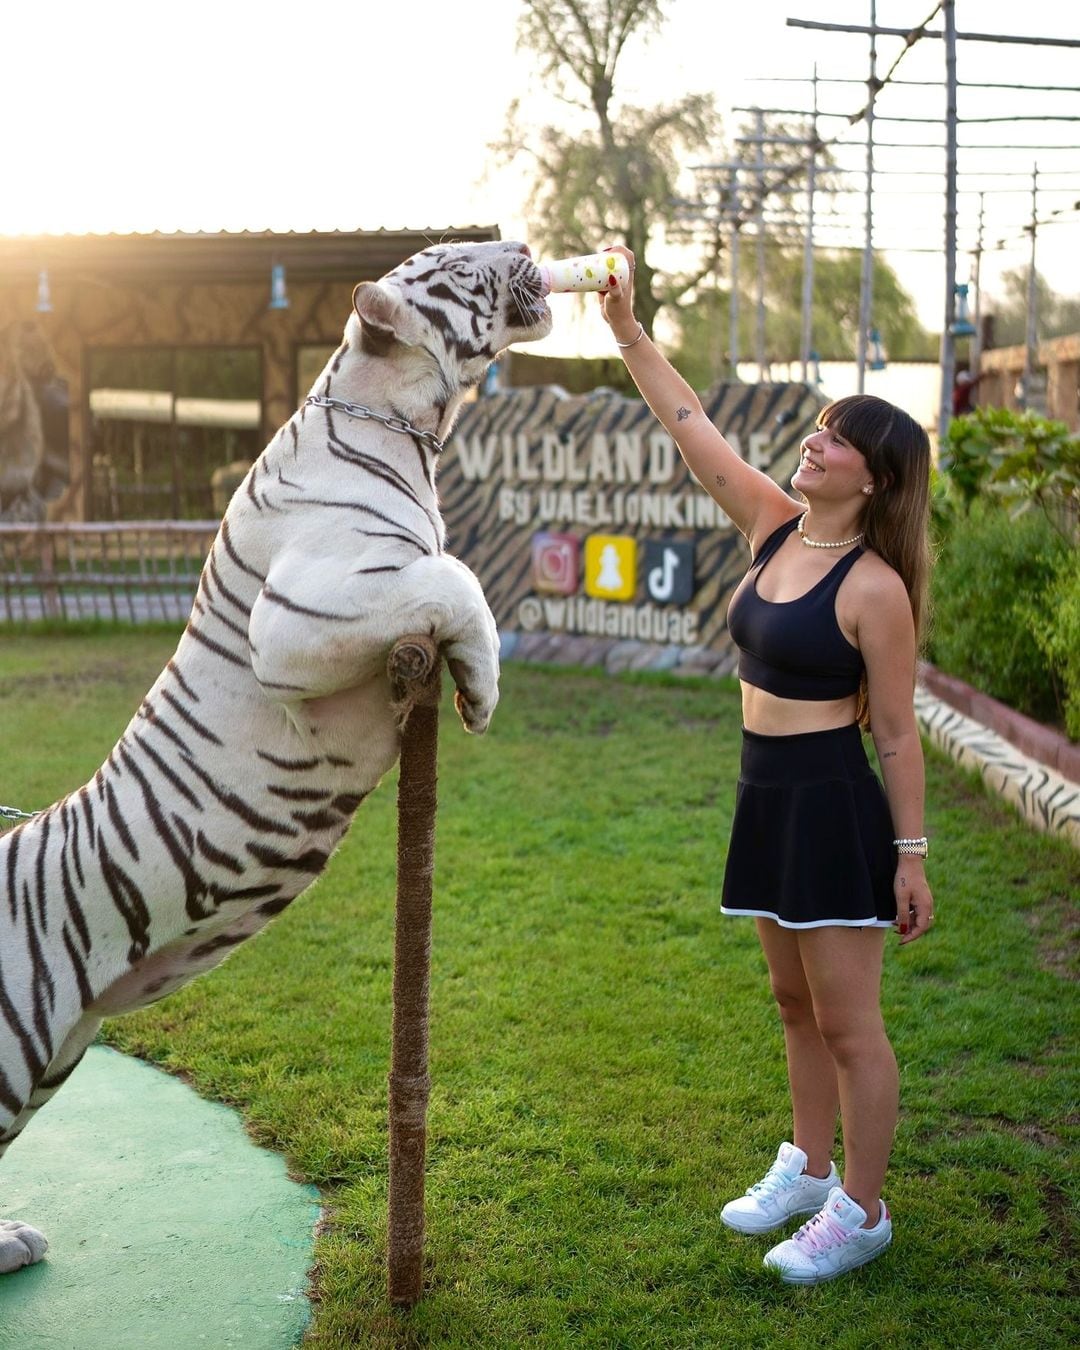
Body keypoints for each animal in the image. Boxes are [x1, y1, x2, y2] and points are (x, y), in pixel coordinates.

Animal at [0, 237, 553, 1269]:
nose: (525, 246)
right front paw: (484, 688)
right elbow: (452, 574)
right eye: (462, 266)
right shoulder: (300, 618)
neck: (406, 426)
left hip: (56, 1058)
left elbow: (449, 575)